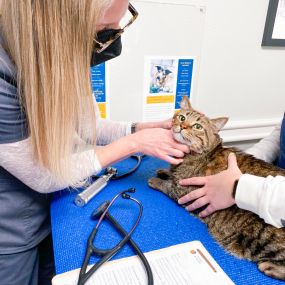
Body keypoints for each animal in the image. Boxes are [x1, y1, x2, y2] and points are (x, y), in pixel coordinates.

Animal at [148, 96, 284, 280]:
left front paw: (156, 180)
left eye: (197, 126)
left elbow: (168, 185)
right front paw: (163, 171)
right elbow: (169, 174)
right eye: (182, 117)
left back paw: (270, 267)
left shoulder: (182, 191)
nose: (183, 126)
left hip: (262, 237)